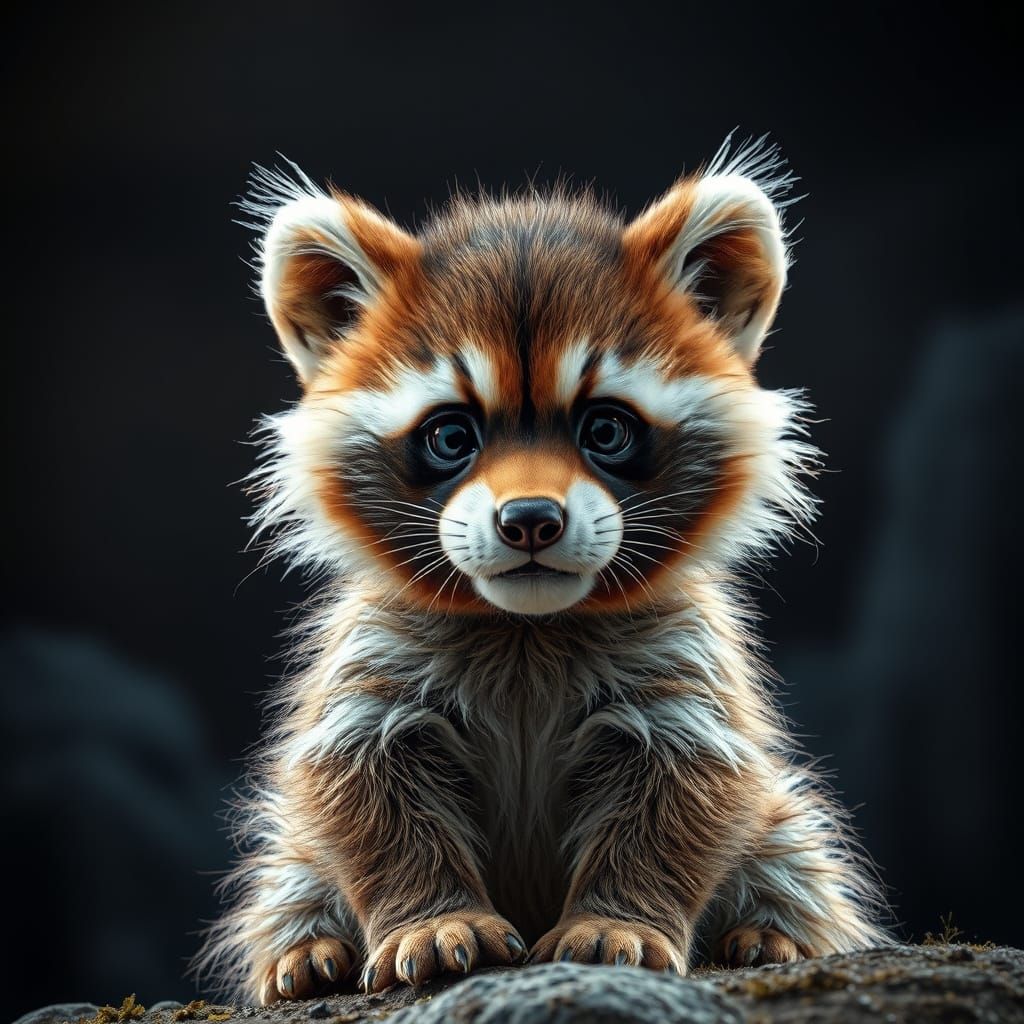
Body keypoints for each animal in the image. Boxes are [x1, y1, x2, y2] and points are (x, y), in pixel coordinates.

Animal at [197, 138, 887, 1004]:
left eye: (606, 429)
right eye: (451, 436)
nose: (529, 520)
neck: (527, 623)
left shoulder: (684, 669)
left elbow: (688, 791)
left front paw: (621, 917)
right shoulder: (371, 663)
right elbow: (361, 788)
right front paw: (430, 915)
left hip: (784, 822)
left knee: (790, 843)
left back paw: (772, 928)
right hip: (291, 853)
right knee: (291, 867)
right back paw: (308, 944)